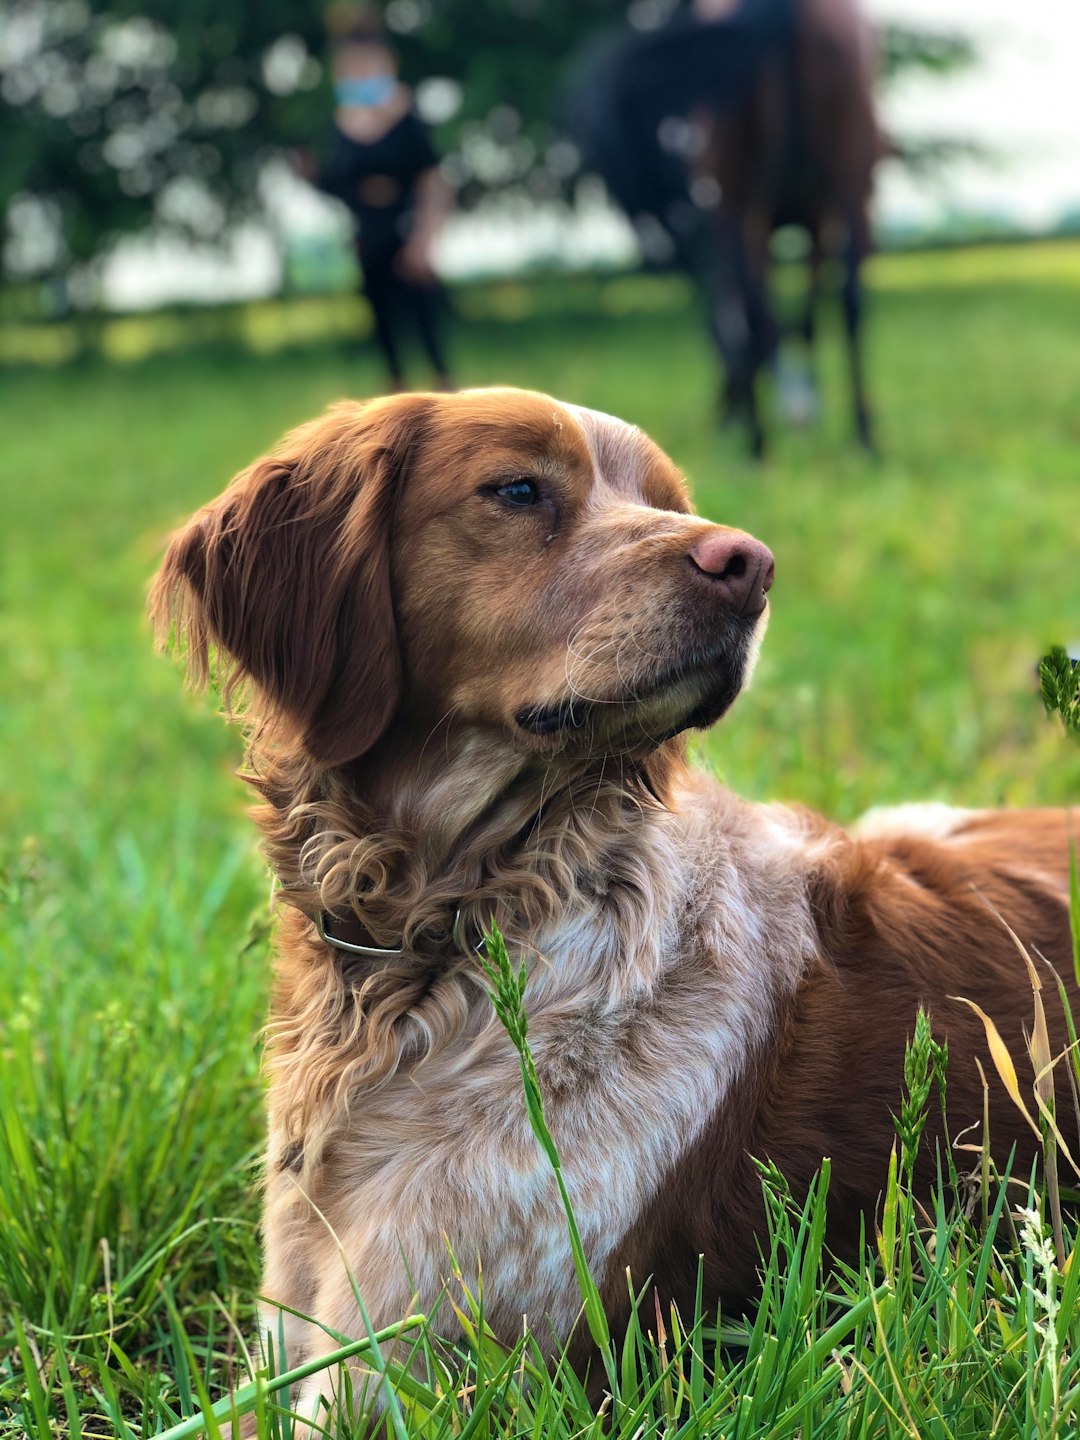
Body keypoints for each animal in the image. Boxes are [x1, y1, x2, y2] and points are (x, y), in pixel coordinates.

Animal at [570, 0, 881, 455]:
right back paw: (861, 436)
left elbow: (744, 319)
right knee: (849, 304)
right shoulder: (810, 221)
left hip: (742, 203)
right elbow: (801, 319)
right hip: (847, 187)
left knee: (757, 317)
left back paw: (759, 439)